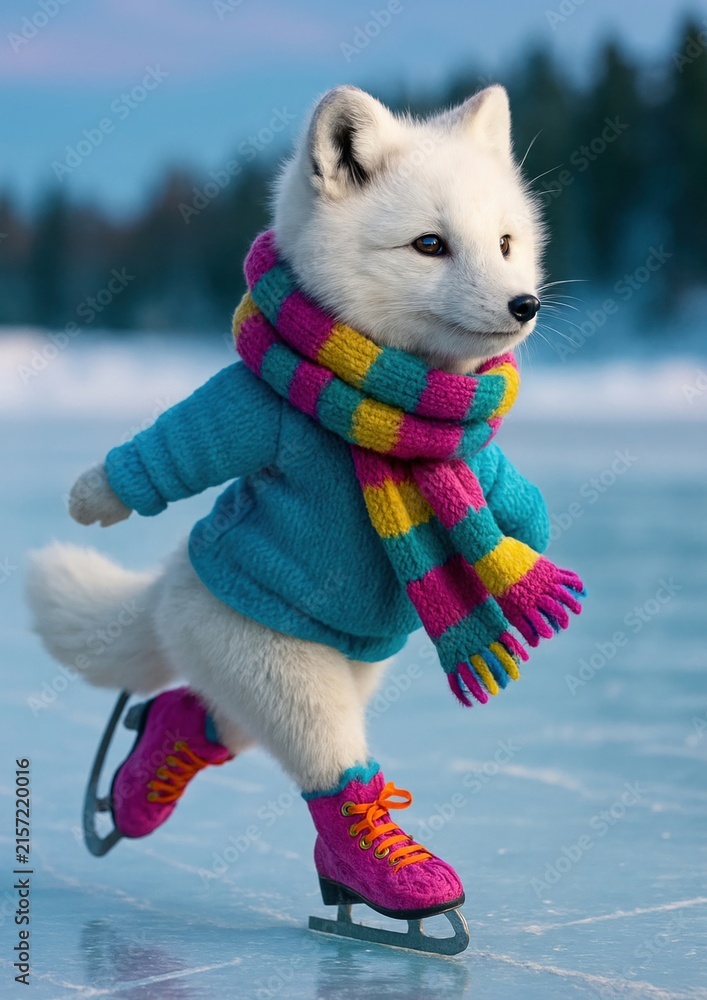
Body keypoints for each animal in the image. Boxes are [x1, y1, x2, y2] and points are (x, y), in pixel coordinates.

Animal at [26, 84, 556, 943]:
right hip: (278, 666)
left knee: (204, 714)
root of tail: (172, 584)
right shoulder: (256, 413)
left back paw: (150, 769)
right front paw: (93, 496)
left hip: (348, 671)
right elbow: (178, 444)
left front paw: (530, 536)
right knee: (318, 756)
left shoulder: (476, 459)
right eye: (430, 244)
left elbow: (507, 492)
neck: (392, 400)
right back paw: (384, 881)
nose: (524, 304)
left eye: (505, 242)